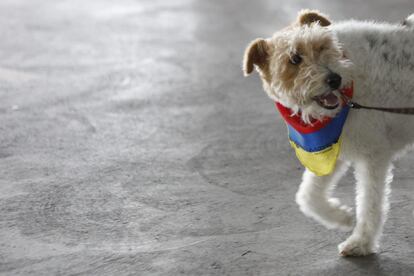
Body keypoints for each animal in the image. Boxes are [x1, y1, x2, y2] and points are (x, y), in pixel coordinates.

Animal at [244, 10, 414, 256]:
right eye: (294, 59)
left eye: (322, 45)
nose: (335, 79)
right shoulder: (331, 148)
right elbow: (307, 195)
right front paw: (343, 217)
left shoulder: (374, 154)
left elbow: (370, 203)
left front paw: (361, 242)